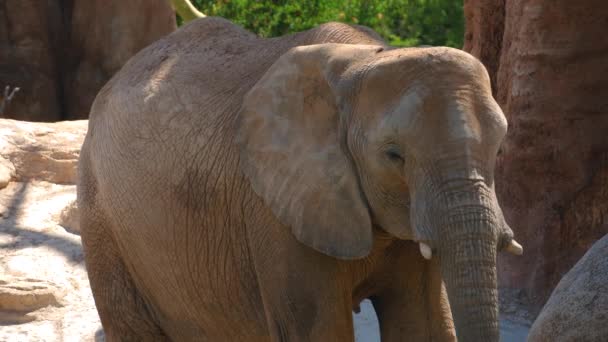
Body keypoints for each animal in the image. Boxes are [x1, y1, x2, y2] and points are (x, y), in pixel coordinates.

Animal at [76, 15, 524, 342]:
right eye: (394, 155)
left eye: (499, 146)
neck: (362, 60)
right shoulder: (275, 206)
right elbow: (322, 330)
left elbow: (423, 322)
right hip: (101, 217)